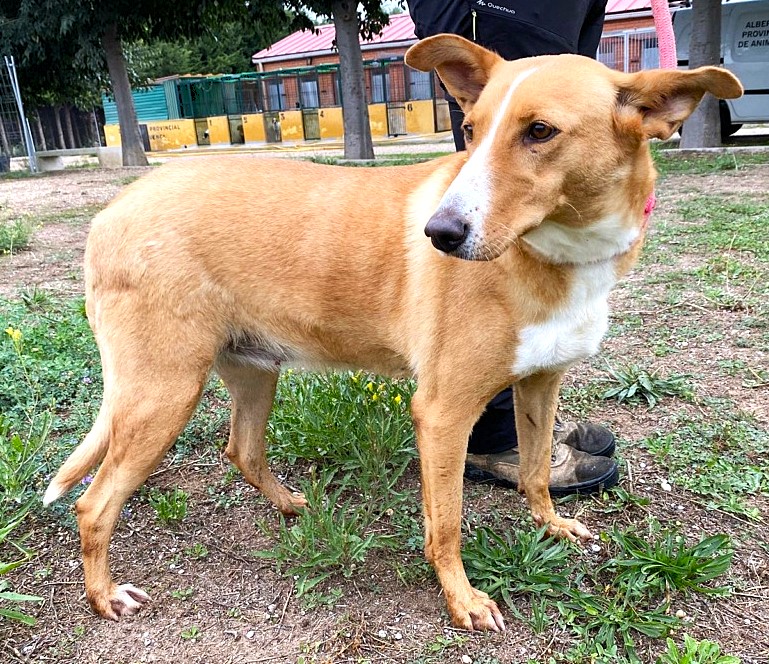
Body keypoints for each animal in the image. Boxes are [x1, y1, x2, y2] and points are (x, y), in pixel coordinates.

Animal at [42, 36, 736, 632]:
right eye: (472, 132)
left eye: (540, 132)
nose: (440, 234)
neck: (556, 253)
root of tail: (111, 212)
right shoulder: (443, 412)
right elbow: (446, 523)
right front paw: (462, 599)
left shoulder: (540, 383)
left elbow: (536, 470)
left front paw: (552, 525)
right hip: (163, 393)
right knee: (94, 503)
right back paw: (105, 596)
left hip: (253, 370)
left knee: (241, 450)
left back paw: (288, 504)